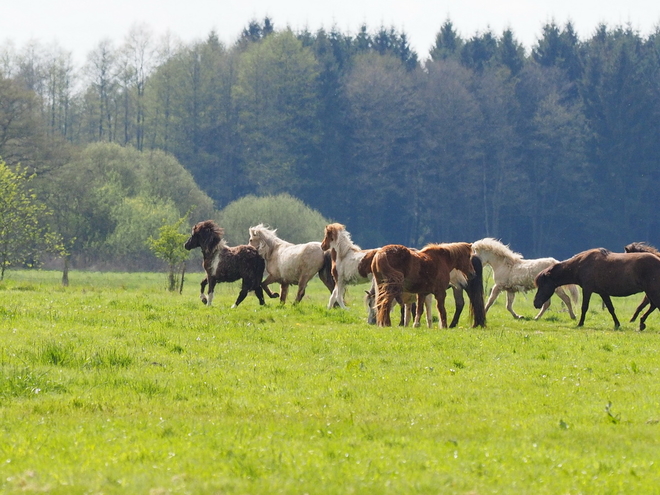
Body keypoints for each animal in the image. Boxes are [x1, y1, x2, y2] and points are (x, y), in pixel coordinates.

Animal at [532, 248, 660, 334]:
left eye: (542, 285)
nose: (536, 303)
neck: (581, 264)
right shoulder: (603, 292)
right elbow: (610, 308)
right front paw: (617, 324)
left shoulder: (587, 290)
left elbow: (584, 307)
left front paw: (580, 323)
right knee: (653, 306)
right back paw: (641, 323)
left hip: (652, 291)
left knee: (655, 305)